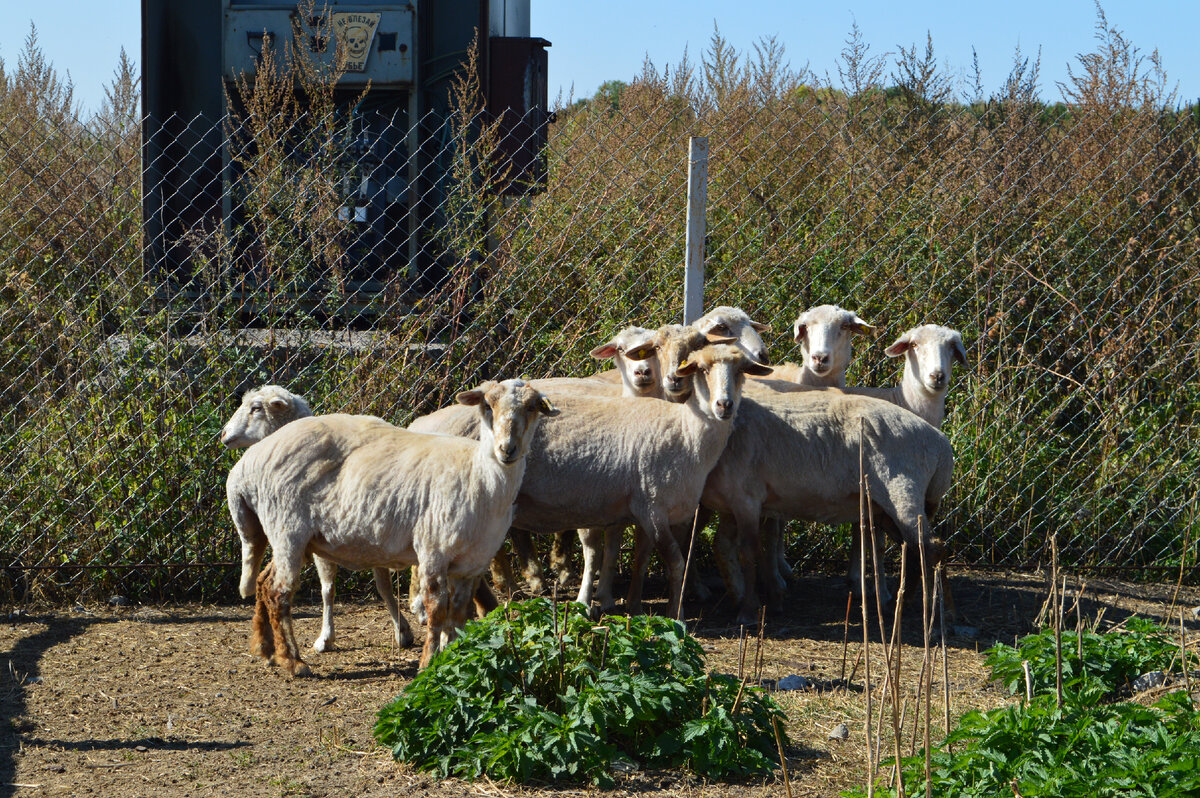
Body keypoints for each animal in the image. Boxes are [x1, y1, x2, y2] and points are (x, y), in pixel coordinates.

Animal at [225, 379, 556, 672]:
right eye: (487, 405)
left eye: (532, 407)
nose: (507, 449)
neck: (480, 475)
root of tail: (245, 466)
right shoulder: (432, 551)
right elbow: (437, 610)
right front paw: (427, 663)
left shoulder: (471, 564)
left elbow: (458, 614)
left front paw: (450, 659)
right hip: (288, 528)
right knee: (277, 591)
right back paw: (292, 661)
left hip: (292, 537)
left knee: (262, 582)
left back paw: (266, 649)